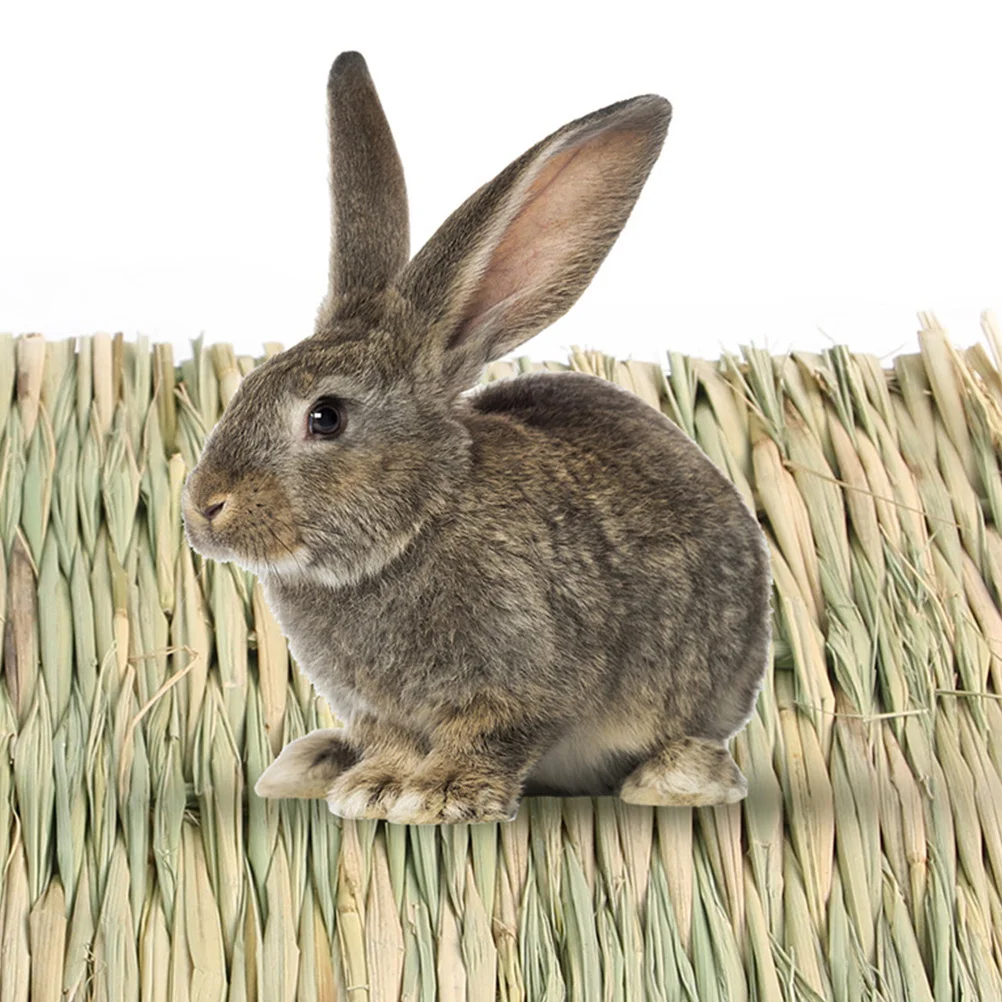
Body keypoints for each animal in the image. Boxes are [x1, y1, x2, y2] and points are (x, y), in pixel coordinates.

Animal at [182, 51, 772, 825]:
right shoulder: (378, 709)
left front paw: (437, 796)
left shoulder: (523, 677)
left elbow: (490, 737)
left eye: (326, 417)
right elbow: (392, 743)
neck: (414, 527)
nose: (204, 508)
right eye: (247, 385)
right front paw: (373, 788)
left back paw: (674, 780)